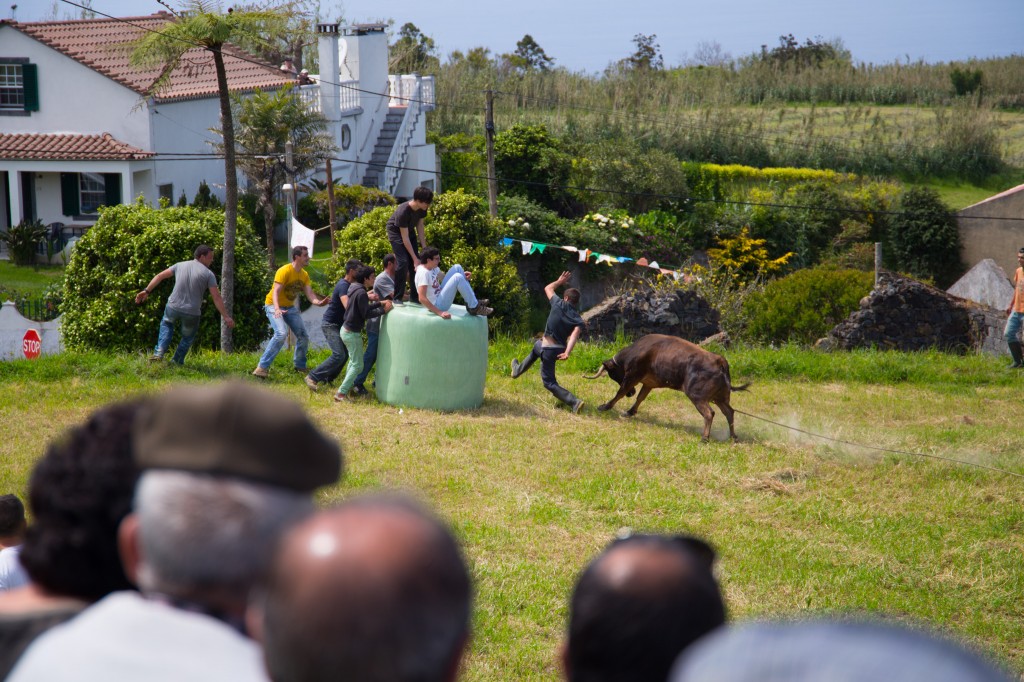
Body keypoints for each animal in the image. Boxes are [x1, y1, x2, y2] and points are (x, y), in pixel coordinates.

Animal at [589, 333, 749, 440]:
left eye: (614, 374)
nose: (631, 393)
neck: (637, 350)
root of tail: (719, 360)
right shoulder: (648, 383)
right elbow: (641, 397)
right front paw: (629, 412)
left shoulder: (632, 377)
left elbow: (619, 393)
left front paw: (604, 407)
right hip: (720, 398)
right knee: (729, 412)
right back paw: (733, 436)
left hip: (698, 396)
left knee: (709, 413)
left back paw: (705, 438)